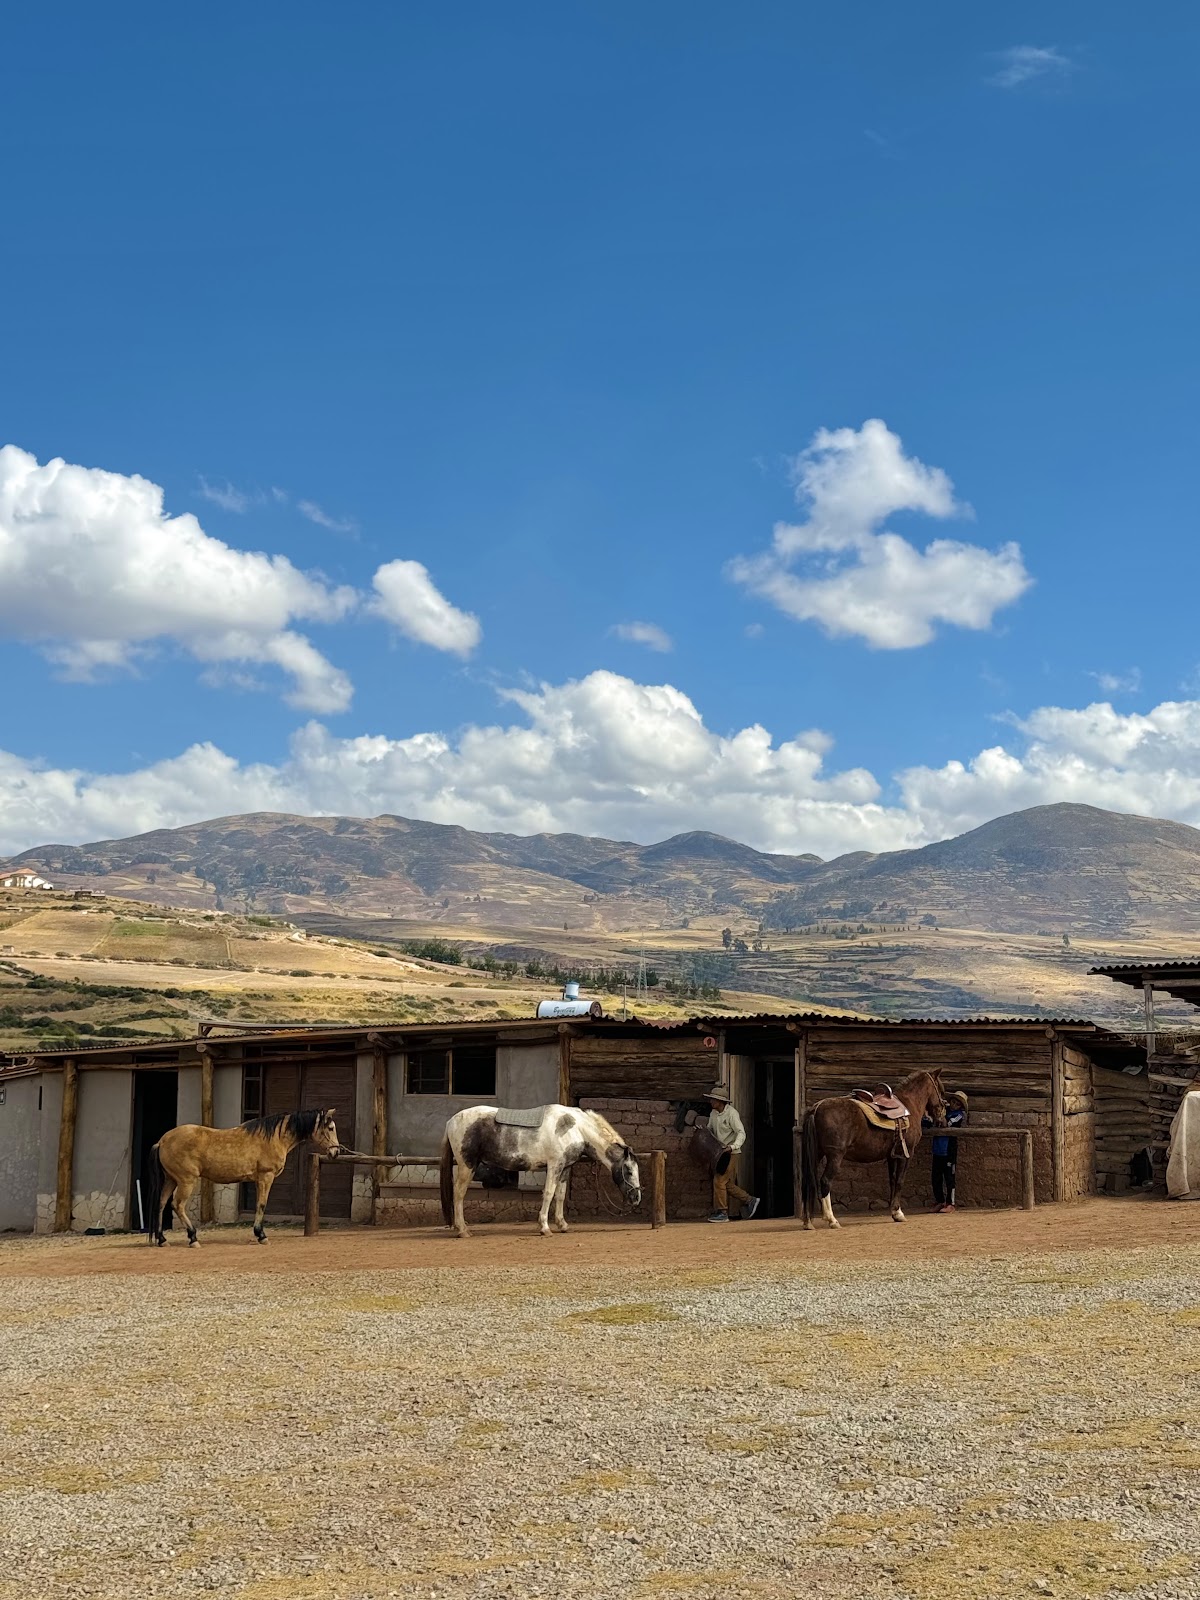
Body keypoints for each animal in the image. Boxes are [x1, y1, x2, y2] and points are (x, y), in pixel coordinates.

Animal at [149, 1113, 342, 1248]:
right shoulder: (266, 1177)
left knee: (161, 1204)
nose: (335, 1152)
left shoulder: (258, 1180)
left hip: (171, 1180)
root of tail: (163, 1141)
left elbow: (258, 1204)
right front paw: (261, 1235)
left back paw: (162, 1240)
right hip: (186, 1181)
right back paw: (193, 1238)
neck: (274, 1137)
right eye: (330, 1128)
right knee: (177, 1205)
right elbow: (261, 1205)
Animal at [441, 1107, 643, 1241]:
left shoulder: (565, 1168)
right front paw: (545, 1227)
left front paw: (562, 1225)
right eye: (629, 1170)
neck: (575, 1128)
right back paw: (463, 1230)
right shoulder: (554, 1165)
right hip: (467, 1166)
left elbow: (560, 1195)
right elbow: (548, 1194)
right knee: (459, 1194)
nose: (636, 1198)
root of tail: (451, 1121)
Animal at [800, 1068, 947, 1228]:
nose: (942, 1118)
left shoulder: (892, 1156)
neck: (908, 1105)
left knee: (808, 1181)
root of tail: (816, 1108)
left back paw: (808, 1222)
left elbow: (893, 1180)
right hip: (835, 1156)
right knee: (825, 1181)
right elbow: (900, 1181)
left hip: (817, 1154)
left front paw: (894, 1212)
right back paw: (832, 1220)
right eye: (941, 1089)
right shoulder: (906, 1154)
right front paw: (899, 1213)